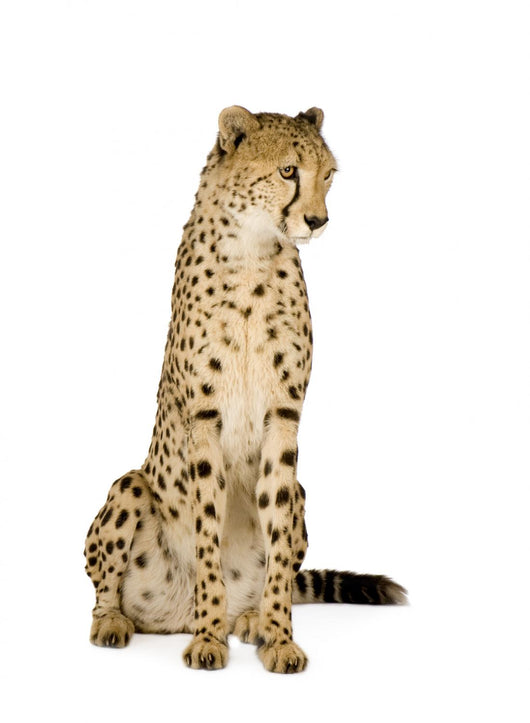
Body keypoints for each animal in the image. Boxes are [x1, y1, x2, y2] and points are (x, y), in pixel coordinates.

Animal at [84, 106, 407, 674]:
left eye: (329, 175)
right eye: (288, 171)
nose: (318, 221)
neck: (253, 252)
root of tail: (170, 617)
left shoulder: (283, 418)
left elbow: (276, 536)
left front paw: (278, 636)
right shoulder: (205, 420)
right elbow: (207, 534)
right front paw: (209, 638)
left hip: (302, 491)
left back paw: (249, 617)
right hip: (130, 485)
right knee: (103, 586)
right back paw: (116, 621)